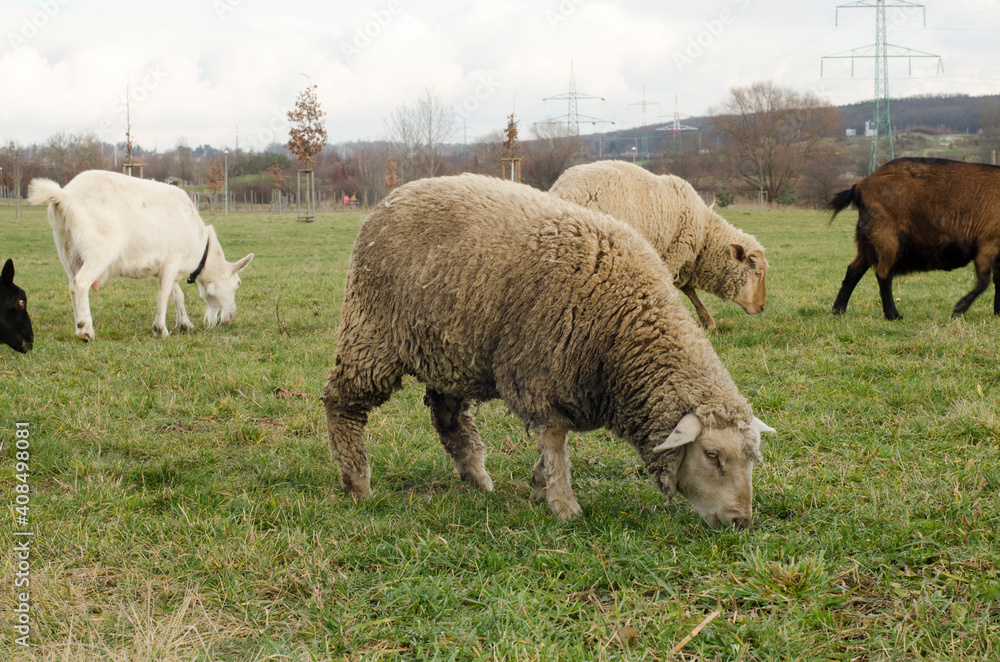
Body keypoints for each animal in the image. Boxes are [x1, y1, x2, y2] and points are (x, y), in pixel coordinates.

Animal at [28, 171, 254, 342]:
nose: (231, 316)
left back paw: (78, 327)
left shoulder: (168, 267)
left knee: (71, 285)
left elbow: (177, 295)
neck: (200, 245)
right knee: (80, 283)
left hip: (67, 251)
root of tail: (65, 197)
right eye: (238, 283)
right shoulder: (172, 260)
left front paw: (185, 324)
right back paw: (86, 331)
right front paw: (160, 329)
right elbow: (164, 295)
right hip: (99, 251)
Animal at [552, 161, 768, 332]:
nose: (762, 307)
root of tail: (562, 190)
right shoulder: (674, 255)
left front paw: (707, 321)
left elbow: (689, 290)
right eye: (757, 274)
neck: (704, 238)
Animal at [828, 157, 1000, 320]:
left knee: (854, 270)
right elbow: (983, 282)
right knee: (883, 274)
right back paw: (893, 315)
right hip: (887, 238)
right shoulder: (987, 244)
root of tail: (860, 186)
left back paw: (839, 310)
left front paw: (997, 313)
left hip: (868, 242)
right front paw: (958, 310)